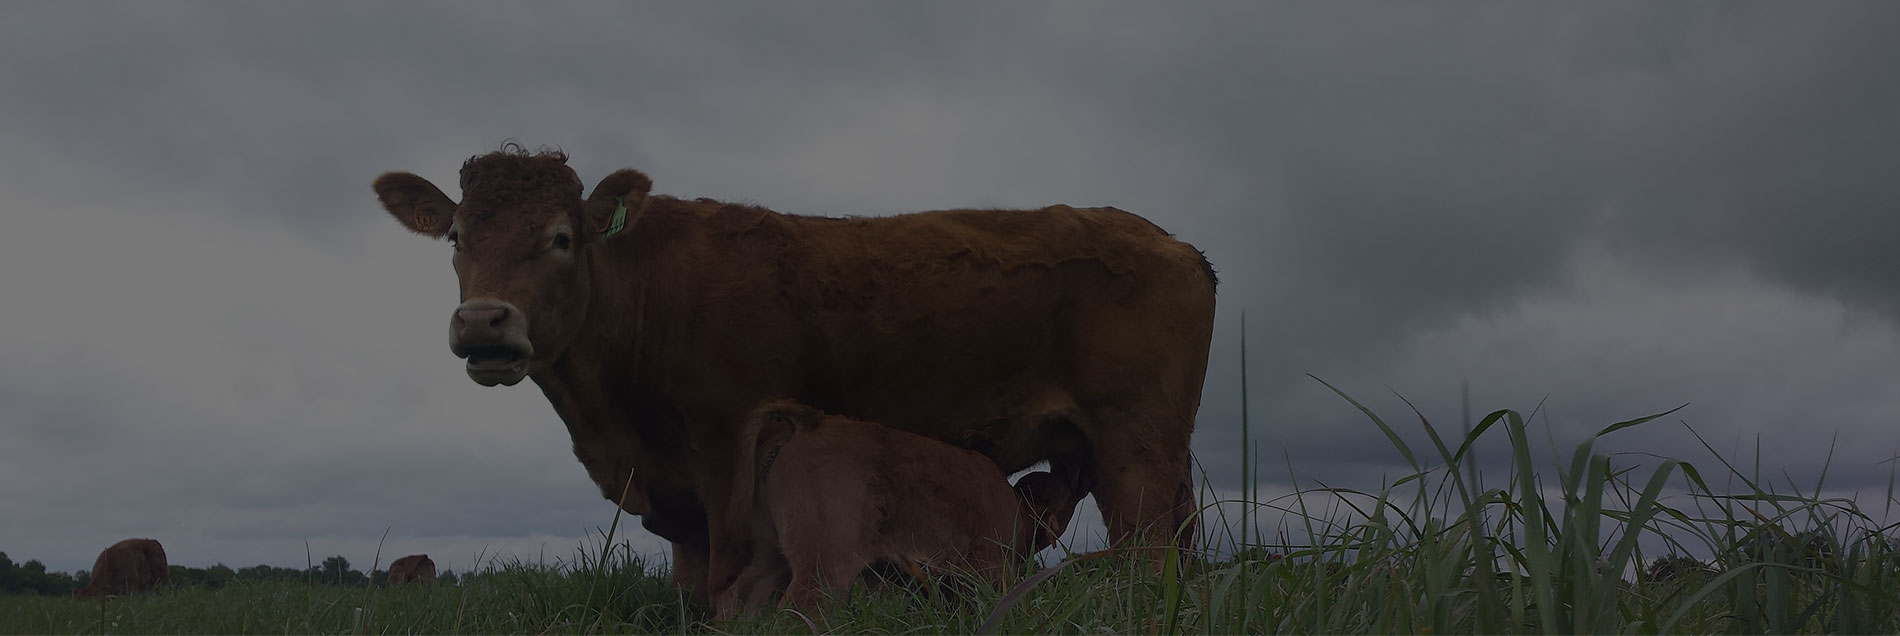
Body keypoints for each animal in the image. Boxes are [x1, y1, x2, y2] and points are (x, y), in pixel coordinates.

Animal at [718, 404, 1079, 618]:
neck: (1016, 505)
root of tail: (814, 422)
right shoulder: (994, 567)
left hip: (770, 551)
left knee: (737, 599)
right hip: (823, 565)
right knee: (796, 609)